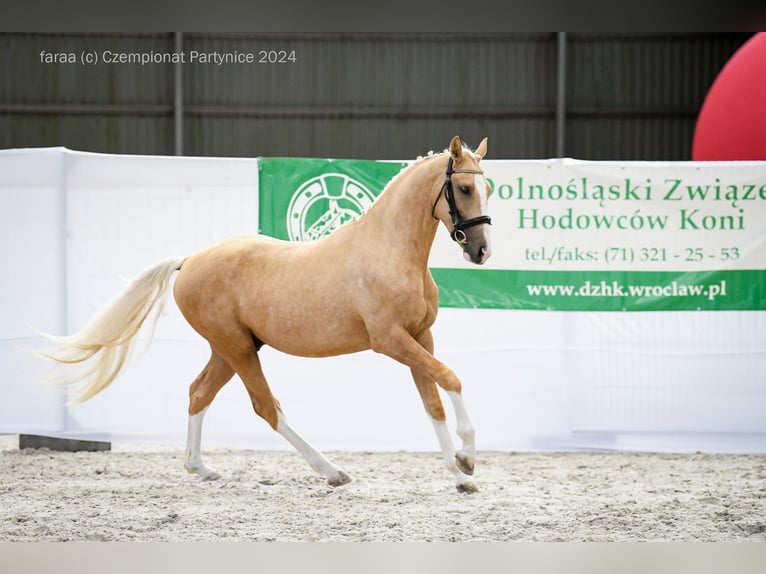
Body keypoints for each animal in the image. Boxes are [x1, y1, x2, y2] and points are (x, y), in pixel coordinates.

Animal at [42, 136, 496, 496]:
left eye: (488, 188)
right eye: (464, 187)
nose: (481, 252)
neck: (389, 250)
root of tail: (188, 262)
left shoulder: (420, 337)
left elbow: (433, 403)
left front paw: (461, 476)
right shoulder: (390, 341)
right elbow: (451, 378)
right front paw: (469, 457)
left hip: (230, 348)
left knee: (199, 393)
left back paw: (201, 468)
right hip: (238, 349)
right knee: (265, 406)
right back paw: (332, 471)